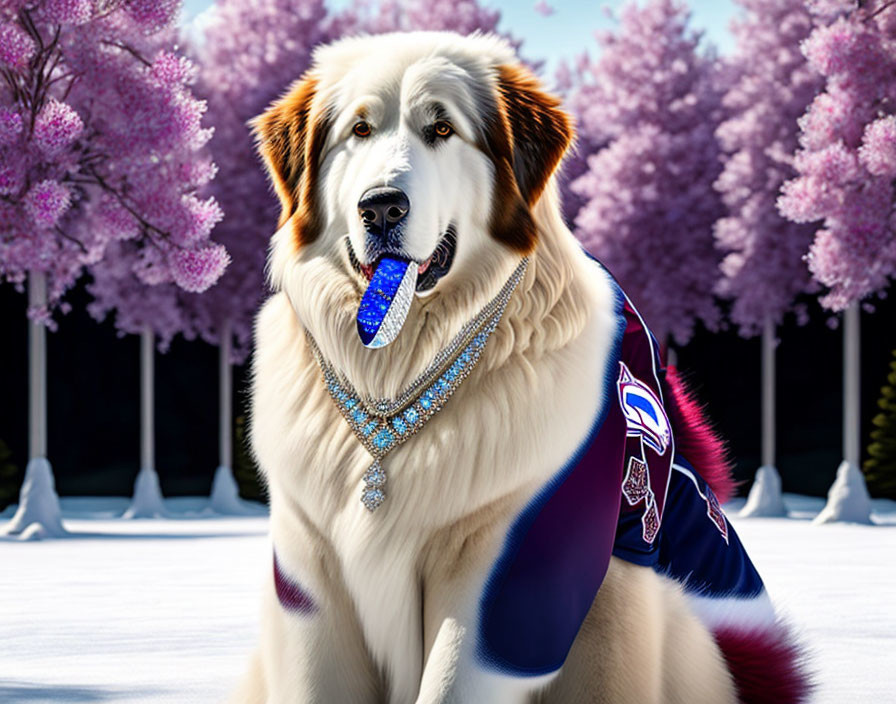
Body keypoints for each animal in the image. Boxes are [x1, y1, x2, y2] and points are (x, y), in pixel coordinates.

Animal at [234, 30, 808, 700]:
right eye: (358, 130)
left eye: (442, 129)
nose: (380, 207)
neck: (398, 379)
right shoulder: (310, 577)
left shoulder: (519, 562)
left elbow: (464, 667)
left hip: (637, 605)